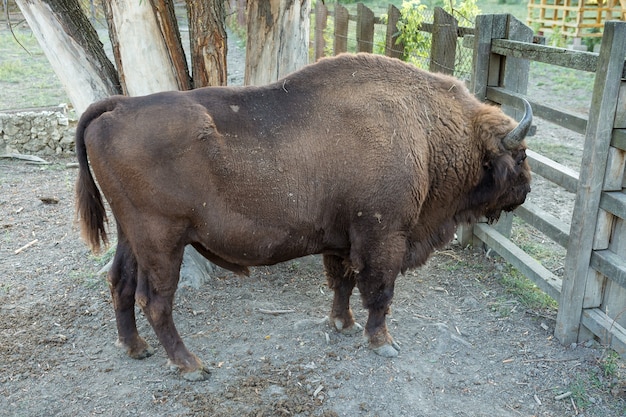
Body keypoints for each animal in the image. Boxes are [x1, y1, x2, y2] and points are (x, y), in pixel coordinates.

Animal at [75, 52, 528, 380]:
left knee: (119, 283)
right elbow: (379, 292)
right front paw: (382, 342)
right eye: (521, 156)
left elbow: (343, 283)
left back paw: (135, 348)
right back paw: (191, 366)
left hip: (130, 236)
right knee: (155, 301)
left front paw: (342, 324)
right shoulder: (384, 237)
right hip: (161, 241)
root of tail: (117, 108)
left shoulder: (342, 241)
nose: (524, 192)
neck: (427, 130)